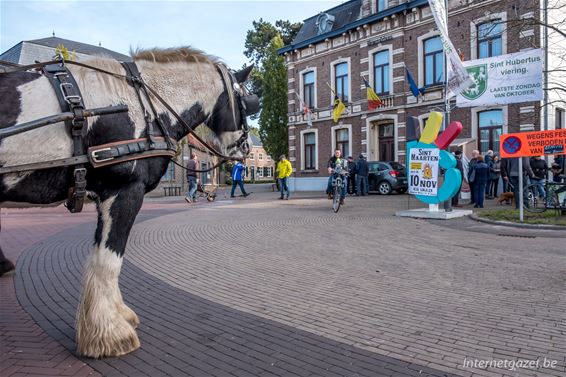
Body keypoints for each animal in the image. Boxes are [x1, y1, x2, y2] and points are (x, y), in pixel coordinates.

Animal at [0, 48, 253, 356]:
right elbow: (109, 259)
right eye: (247, 102)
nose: (245, 148)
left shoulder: (105, 196)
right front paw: (109, 334)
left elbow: (103, 257)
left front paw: (116, 315)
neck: (142, 103)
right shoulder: (124, 191)